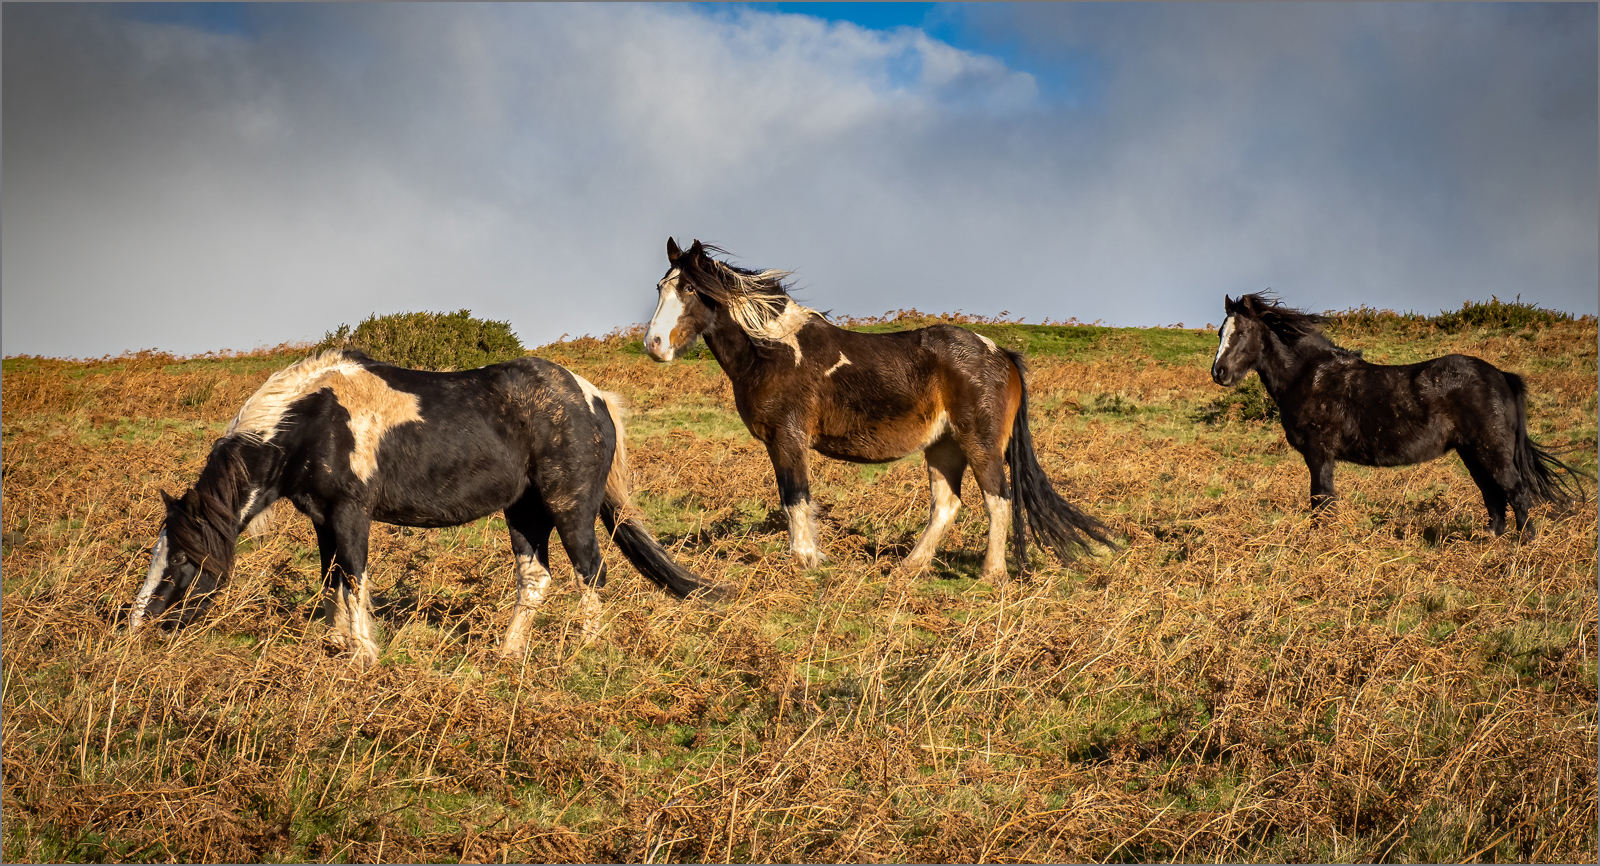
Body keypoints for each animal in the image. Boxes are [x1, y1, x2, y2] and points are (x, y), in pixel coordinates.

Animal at [129, 347, 720, 665]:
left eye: (181, 564)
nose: (136, 627)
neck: (310, 422)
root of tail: (592, 396)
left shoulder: (351, 513)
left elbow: (355, 577)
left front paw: (365, 655)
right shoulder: (323, 519)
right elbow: (333, 578)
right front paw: (338, 646)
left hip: (568, 509)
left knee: (590, 572)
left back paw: (588, 649)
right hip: (524, 512)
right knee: (536, 579)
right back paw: (507, 655)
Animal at [640, 235, 1113, 579]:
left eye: (689, 289)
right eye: (661, 287)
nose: (654, 345)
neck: (773, 350)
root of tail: (1002, 355)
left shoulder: (787, 439)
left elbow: (794, 497)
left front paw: (806, 561)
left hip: (980, 444)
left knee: (997, 499)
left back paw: (991, 573)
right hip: (943, 447)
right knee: (947, 505)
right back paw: (909, 567)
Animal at [1209, 289, 1587, 534]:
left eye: (1242, 332)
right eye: (1220, 332)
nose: (1219, 373)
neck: (1310, 376)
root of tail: (1501, 376)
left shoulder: (1319, 454)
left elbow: (1322, 501)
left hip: (1491, 451)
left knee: (1516, 493)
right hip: (1471, 453)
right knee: (1494, 497)